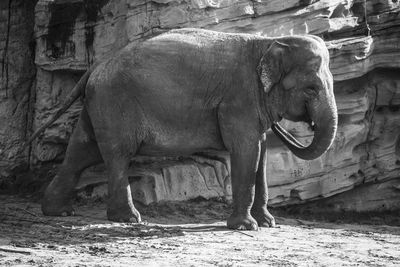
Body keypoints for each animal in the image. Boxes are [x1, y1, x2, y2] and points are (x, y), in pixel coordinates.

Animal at [29, 28, 338, 231]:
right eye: (311, 89)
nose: (308, 123)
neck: (268, 42)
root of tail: (94, 67)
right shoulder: (237, 100)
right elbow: (245, 151)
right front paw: (245, 227)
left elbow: (259, 153)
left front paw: (268, 224)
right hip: (114, 103)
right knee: (116, 154)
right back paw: (129, 218)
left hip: (100, 105)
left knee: (82, 150)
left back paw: (59, 212)